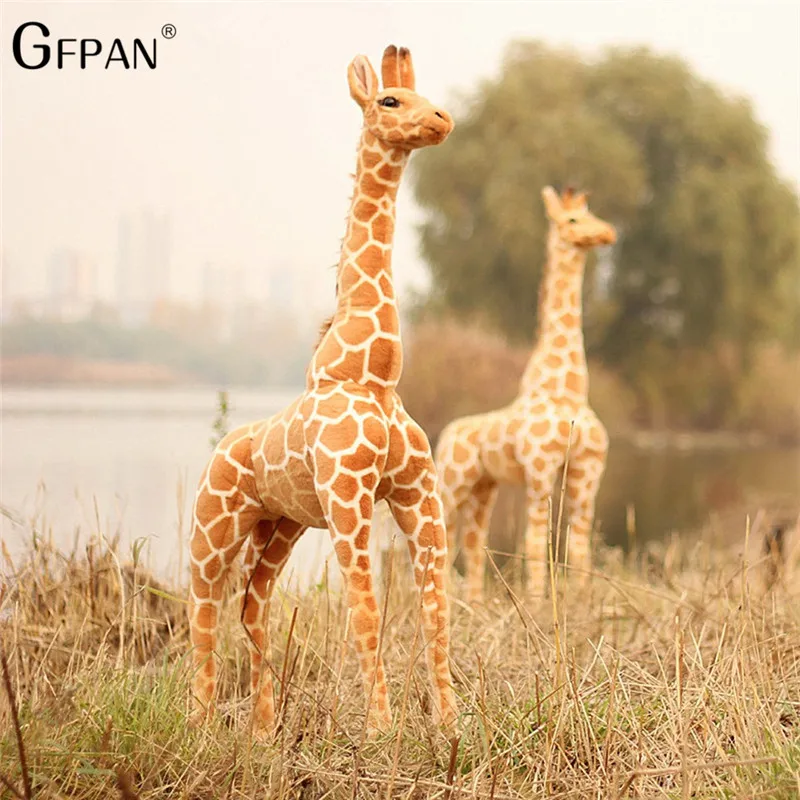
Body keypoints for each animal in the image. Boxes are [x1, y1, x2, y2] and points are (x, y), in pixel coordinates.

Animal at [188, 45, 458, 739]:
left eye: (425, 95)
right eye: (390, 100)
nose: (442, 120)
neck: (371, 372)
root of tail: (221, 449)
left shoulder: (417, 493)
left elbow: (436, 609)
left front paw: (452, 724)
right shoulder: (349, 496)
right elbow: (366, 612)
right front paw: (381, 730)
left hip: (278, 525)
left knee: (251, 606)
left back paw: (262, 730)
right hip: (213, 523)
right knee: (202, 609)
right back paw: (200, 724)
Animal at [435, 187, 617, 603]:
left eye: (593, 212)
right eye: (572, 220)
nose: (608, 233)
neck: (567, 393)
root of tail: (447, 430)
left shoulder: (588, 471)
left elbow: (578, 543)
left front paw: (581, 600)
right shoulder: (539, 469)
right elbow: (536, 541)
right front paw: (536, 601)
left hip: (484, 487)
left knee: (472, 539)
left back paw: (473, 602)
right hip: (452, 481)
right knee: (441, 536)